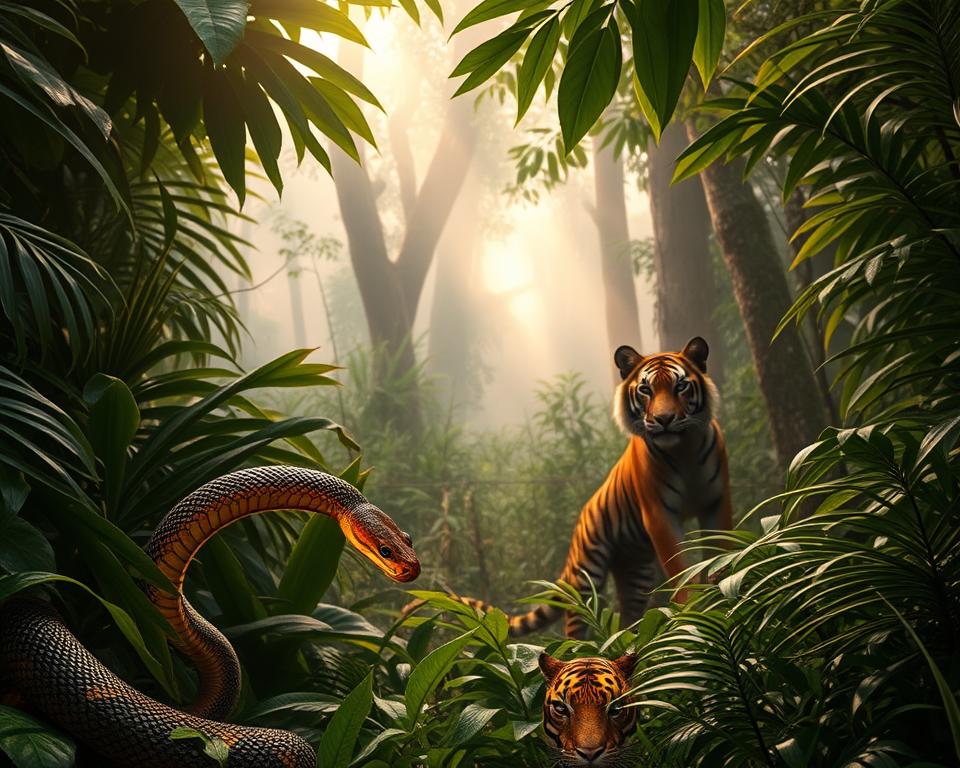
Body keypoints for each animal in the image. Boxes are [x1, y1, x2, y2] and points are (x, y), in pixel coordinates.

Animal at [413, 337, 732, 638]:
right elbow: (680, 568)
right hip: (586, 574)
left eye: (681, 386)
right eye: (646, 390)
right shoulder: (659, 515)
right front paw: (693, 610)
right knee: (576, 624)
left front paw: (723, 593)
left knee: (628, 616)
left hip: (636, 570)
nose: (664, 420)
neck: (684, 448)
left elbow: (721, 550)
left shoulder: (717, 503)